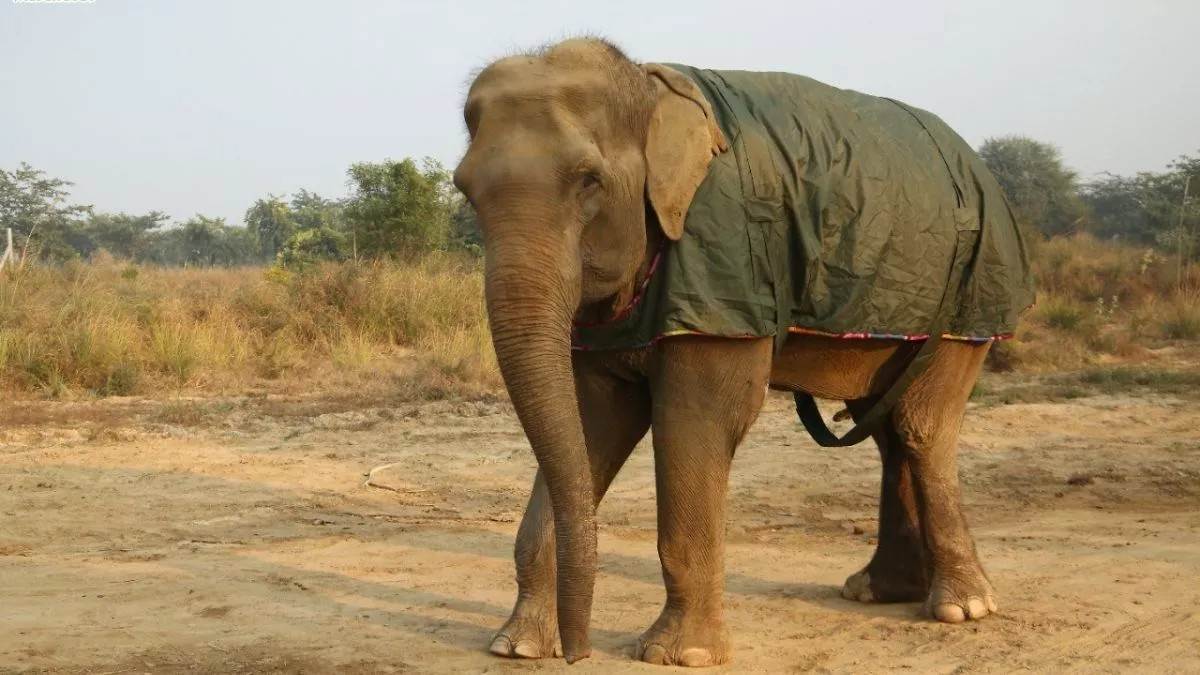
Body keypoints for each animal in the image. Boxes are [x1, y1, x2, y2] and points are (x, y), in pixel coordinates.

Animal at [453, 38, 1033, 666]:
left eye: (588, 181)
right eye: (465, 190)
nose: (578, 653)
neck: (650, 91)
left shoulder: (721, 276)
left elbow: (696, 418)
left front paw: (679, 656)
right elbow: (591, 423)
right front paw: (517, 645)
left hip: (967, 307)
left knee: (920, 425)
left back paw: (961, 607)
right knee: (885, 429)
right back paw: (879, 590)